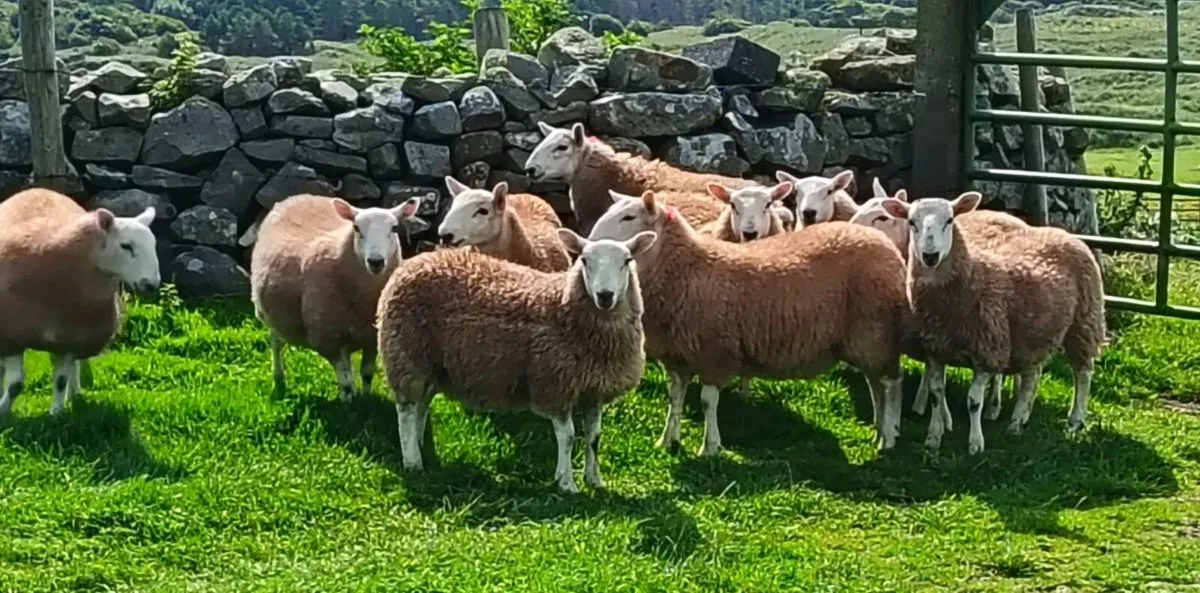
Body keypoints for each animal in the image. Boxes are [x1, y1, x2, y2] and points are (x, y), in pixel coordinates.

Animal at [0, 188, 160, 417]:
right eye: (126, 246)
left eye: (154, 245)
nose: (152, 284)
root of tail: (40, 189)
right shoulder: (12, 335)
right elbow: (15, 385)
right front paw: (3, 409)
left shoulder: (69, 340)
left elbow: (60, 380)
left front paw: (56, 413)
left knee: (73, 368)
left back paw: (74, 394)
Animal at [250, 193, 423, 401]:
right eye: (356, 228)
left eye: (394, 228)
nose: (376, 261)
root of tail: (296, 197)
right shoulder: (327, 338)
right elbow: (345, 380)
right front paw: (347, 404)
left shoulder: (371, 338)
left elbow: (367, 373)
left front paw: (365, 398)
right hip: (270, 315)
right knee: (276, 345)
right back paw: (279, 381)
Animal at [376, 228, 658, 492]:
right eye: (585, 260)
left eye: (627, 260)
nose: (605, 295)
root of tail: (414, 262)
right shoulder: (554, 385)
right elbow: (568, 437)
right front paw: (566, 483)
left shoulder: (594, 390)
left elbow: (594, 437)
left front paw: (595, 480)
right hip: (407, 356)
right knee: (406, 411)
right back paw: (413, 462)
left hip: (432, 365)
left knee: (421, 407)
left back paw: (420, 446)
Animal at [589, 189, 910, 456]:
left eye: (629, 216)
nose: (591, 243)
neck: (687, 269)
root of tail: (885, 245)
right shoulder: (678, 357)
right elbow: (675, 399)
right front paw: (668, 440)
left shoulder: (715, 351)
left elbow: (707, 401)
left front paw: (710, 448)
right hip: (867, 338)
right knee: (876, 384)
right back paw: (879, 430)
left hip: (875, 330)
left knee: (892, 384)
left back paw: (889, 438)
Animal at [879, 191, 1106, 454]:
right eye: (911, 222)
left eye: (950, 220)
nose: (930, 256)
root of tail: (1064, 234)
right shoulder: (936, 350)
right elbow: (937, 395)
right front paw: (933, 439)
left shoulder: (986, 352)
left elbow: (973, 401)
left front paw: (975, 444)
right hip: (1034, 333)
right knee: (1033, 376)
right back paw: (1018, 420)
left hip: (1083, 322)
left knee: (1083, 373)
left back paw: (1075, 420)